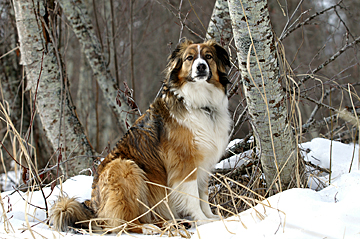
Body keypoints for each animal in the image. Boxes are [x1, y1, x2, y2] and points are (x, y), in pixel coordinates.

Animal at [50, 38, 231, 233]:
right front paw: (202, 220)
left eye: (208, 56)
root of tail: (95, 208)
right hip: (125, 168)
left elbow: (203, 194)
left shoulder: (204, 162)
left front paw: (212, 217)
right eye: (189, 58)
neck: (201, 104)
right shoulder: (184, 163)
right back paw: (149, 228)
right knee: (124, 223)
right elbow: (192, 196)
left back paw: (171, 223)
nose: (201, 67)